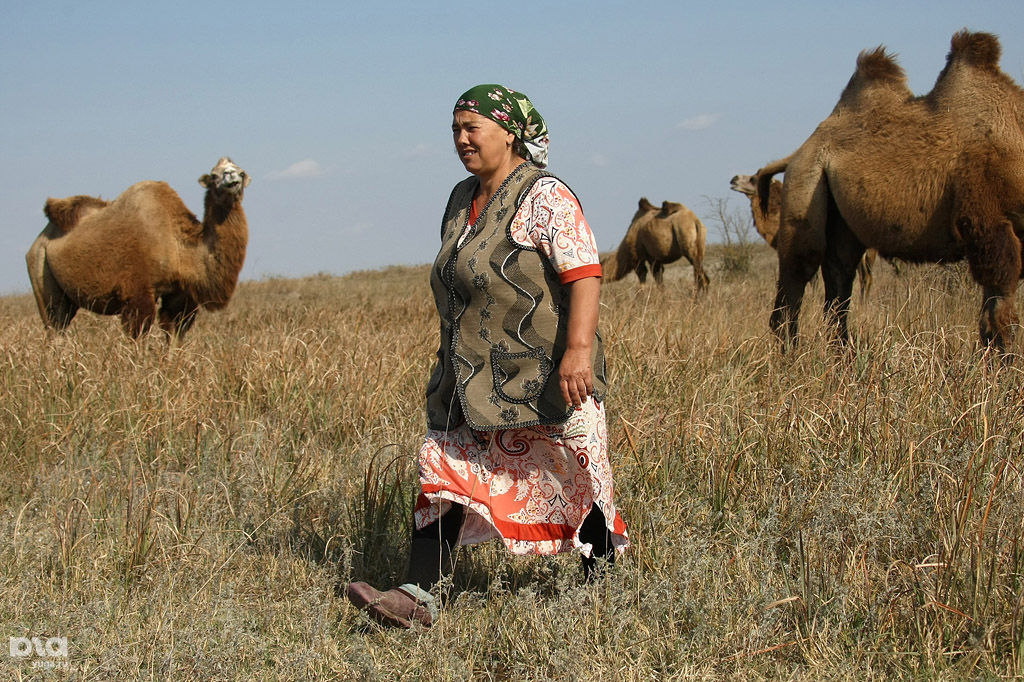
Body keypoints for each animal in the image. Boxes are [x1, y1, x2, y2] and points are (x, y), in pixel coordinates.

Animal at [25, 155, 249, 337]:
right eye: (214, 175)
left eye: (241, 171)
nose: (232, 177)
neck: (180, 246)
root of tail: (38, 241)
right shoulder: (137, 292)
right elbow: (138, 333)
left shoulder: (179, 295)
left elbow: (174, 333)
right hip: (40, 270)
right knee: (54, 322)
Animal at [761, 30, 1024, 350]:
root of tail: (802, 149)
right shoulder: (986, 221)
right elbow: (999, 314)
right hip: (806, 180)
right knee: (799, 270)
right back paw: (791, 353)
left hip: (840, 216)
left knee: (838, 277)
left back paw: (841, 355)